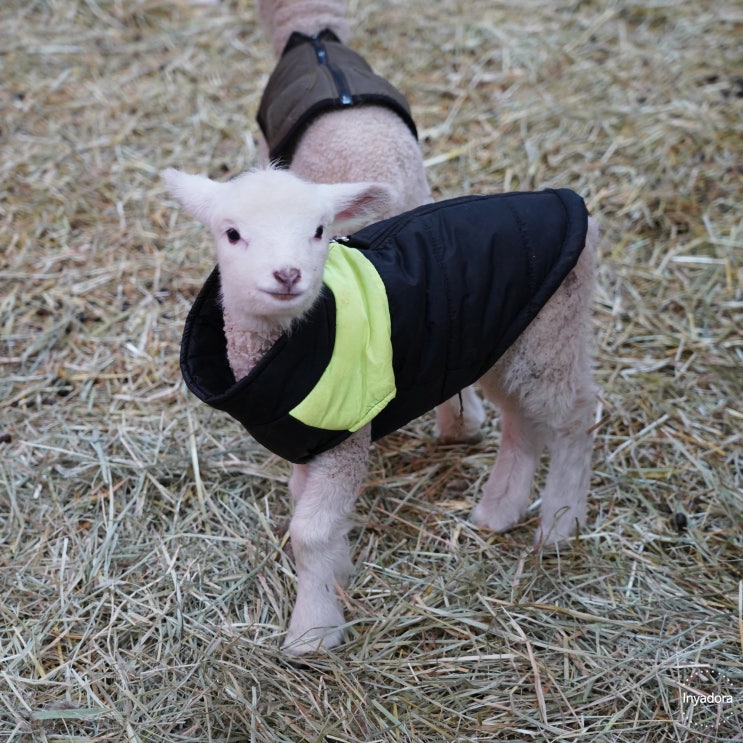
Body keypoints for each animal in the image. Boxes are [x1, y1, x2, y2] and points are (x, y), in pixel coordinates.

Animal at [161, 164, 600, 656]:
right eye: (232, 233)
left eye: (320, 231)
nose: (288, 274)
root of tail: (565, 200)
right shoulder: (310, 442)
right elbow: (304, 503)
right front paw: (339, 571)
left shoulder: (347, 435)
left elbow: (310, 532)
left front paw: (314, 631)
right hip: (506, 342)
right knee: (521, 421)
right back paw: (500, 510)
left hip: (553, 333)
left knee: (575, 417)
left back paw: (561, 525)